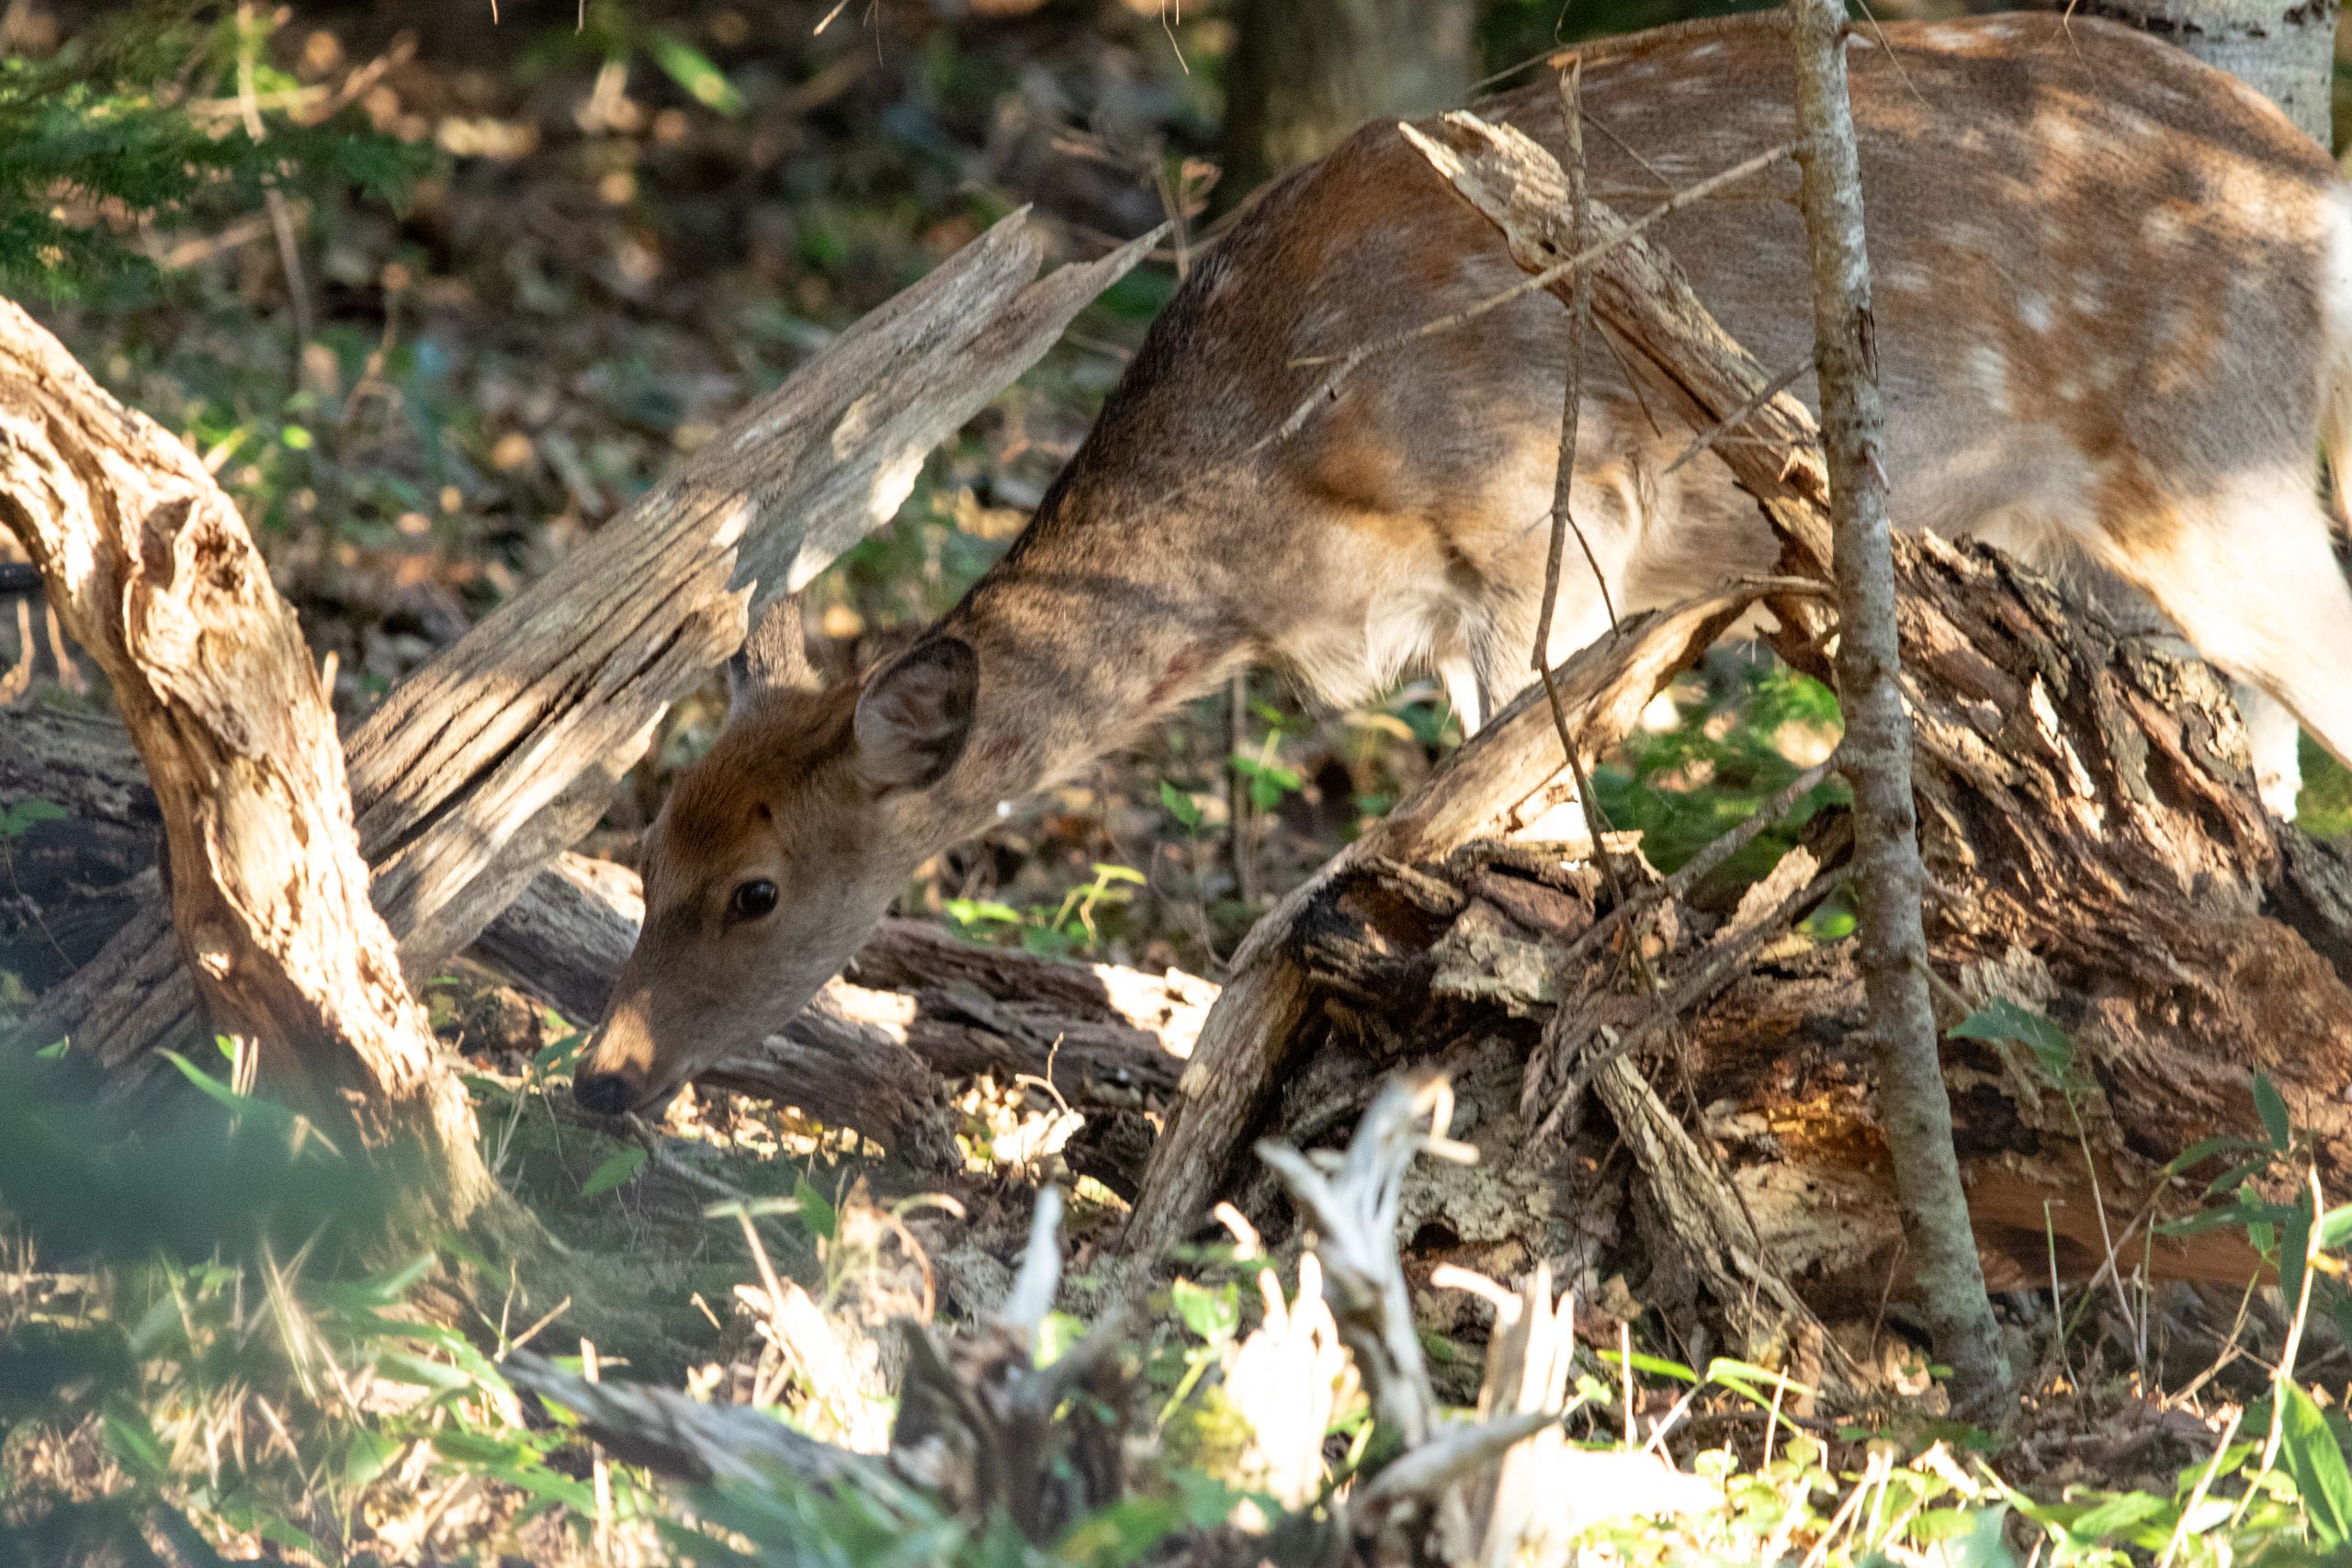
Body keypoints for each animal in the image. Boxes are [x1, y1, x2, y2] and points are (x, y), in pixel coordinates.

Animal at [572, 10, 2352, 1116]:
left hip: (2214, 462)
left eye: (758, 887)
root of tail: (2317, 186)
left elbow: (1536, 822)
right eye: (645, 846)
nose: (602, 1076)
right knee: (2243, 764)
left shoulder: (1548, 522)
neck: (1275, 489)